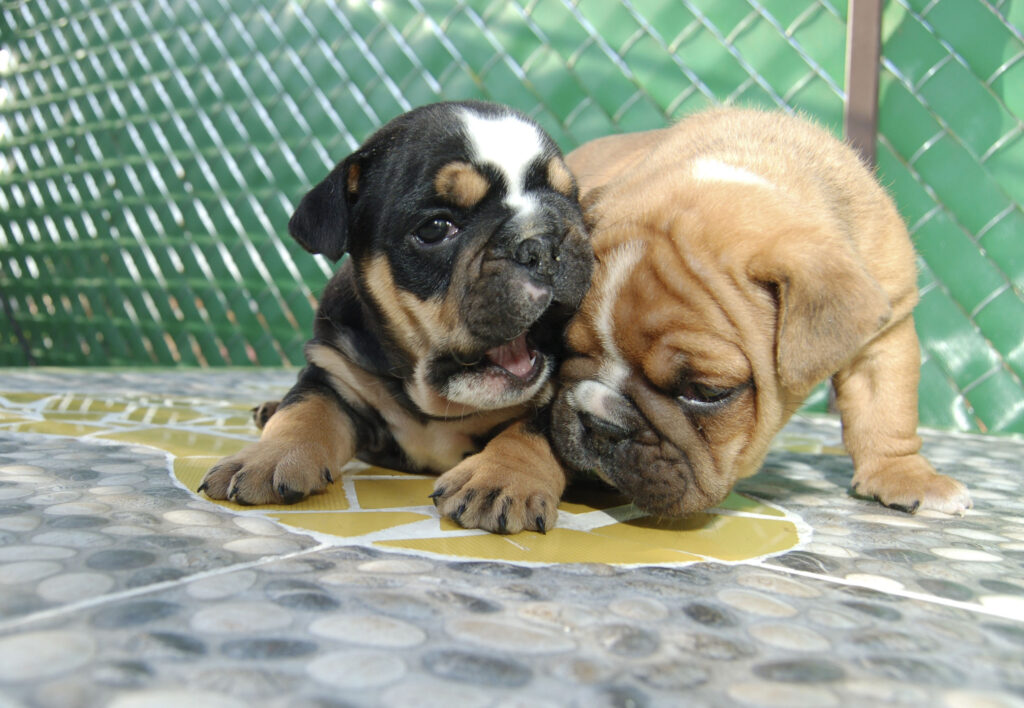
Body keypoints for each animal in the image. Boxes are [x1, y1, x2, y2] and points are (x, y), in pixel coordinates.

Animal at [197, 98, 593, 532]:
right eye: (436, 227)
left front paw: (501, 477)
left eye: (570, 201)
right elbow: (304, 409)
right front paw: (267, 456)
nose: (543, 242)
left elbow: (533, 428)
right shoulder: (335, 372)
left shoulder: (558, 398)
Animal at [548, 106, 970, 514]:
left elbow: (886, 408)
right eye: (564, 349)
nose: (600, 424)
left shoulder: (887, 327)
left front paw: (904, 475)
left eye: (706, 391)